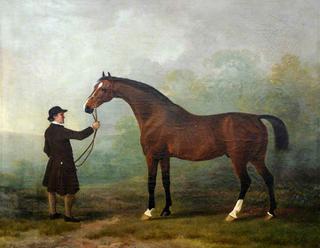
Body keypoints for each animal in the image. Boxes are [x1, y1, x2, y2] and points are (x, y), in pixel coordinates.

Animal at [84, 71, 288, 221]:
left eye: (103, 89)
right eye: (95, 87)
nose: (87, 107)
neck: (155, 116)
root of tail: (256, 118)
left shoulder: (151, 155)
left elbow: (151, 182)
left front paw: (149, 212)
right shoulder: (165, 156)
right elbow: (166, 181)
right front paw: (166, 210)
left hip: (239, 159)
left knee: (246, 181)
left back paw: (233, 214)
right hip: (256, 158)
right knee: (269, 178)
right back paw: (270, 212)